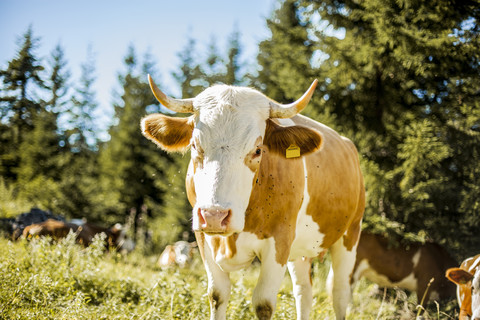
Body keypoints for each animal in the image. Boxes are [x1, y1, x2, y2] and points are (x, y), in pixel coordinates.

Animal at [141, 75, 366, 320]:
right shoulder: (203, 238)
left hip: (350, 235)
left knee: (339, 292)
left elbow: (263, 303)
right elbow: (217, 294)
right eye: (194, 145)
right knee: (303, 291)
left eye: (258, 150)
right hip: (300, 251)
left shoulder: (280, 240)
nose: (214, 216)